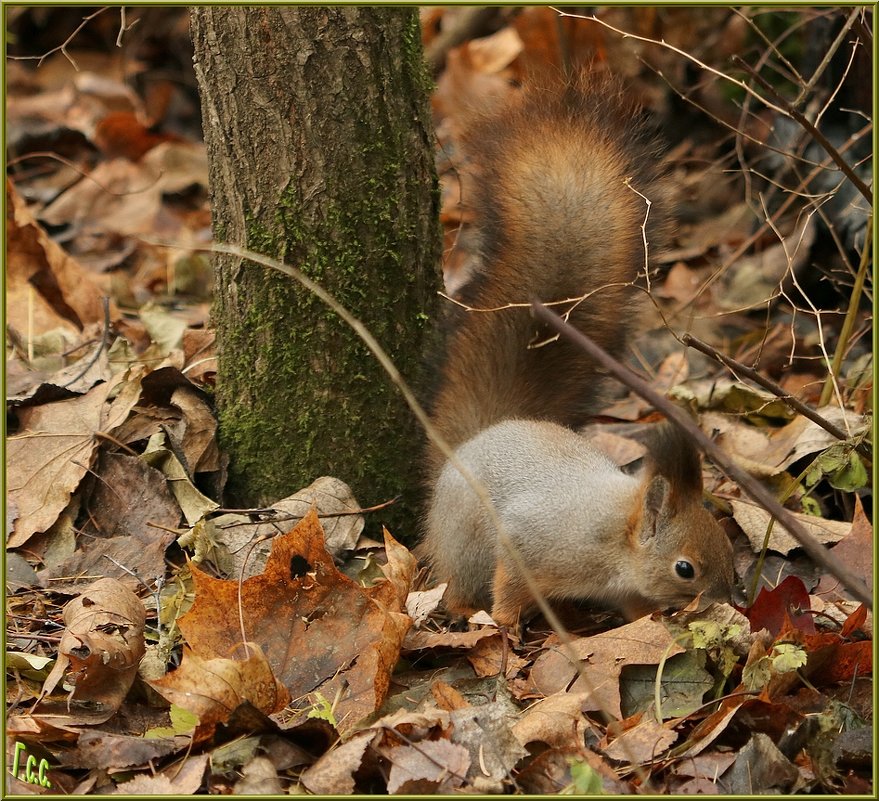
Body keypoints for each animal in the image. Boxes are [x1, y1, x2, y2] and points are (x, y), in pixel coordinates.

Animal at [420, 73, 736, 624]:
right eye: (685, 568)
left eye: (725, 541)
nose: (727, 595)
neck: (613, 536)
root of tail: (473, 440)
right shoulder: (531, 542)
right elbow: (510, 583)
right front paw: (505, 623)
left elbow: (631, 602)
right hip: (465, 541)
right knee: (460, 576)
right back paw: (464, 609)